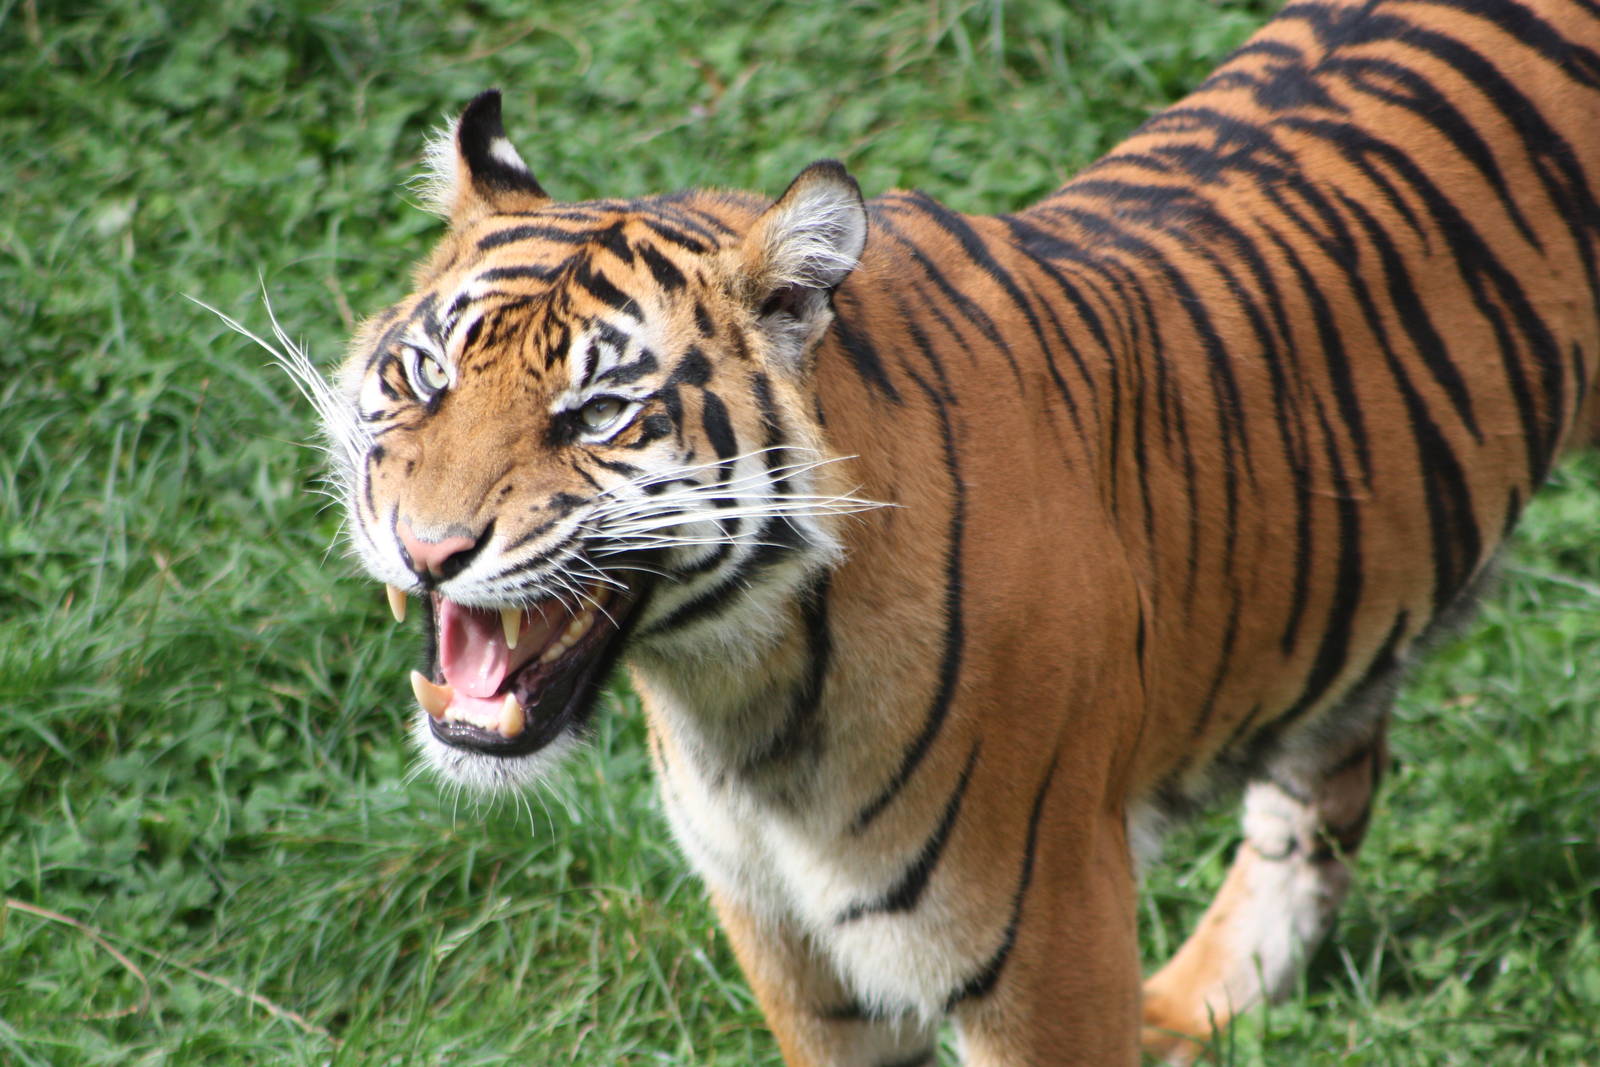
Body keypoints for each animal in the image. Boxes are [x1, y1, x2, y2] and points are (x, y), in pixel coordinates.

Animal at [279, 0, 1600, 1061]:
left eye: (599, 411)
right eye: (425, 373)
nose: (425, 548)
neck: (738, 695)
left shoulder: (1045, 944)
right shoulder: (794, 957)